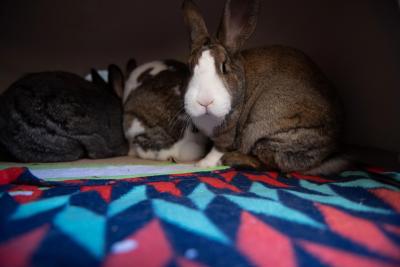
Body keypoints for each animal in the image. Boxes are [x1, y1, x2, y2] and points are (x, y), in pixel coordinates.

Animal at [181, 0, 346, 175]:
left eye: (224, 67)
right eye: (189, 68)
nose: (204, 101)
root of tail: (332, 146)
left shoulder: (227, 134)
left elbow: (218, 149)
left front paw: (202, 164)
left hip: (264, 130)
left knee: (270, 163)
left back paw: (231, 159)